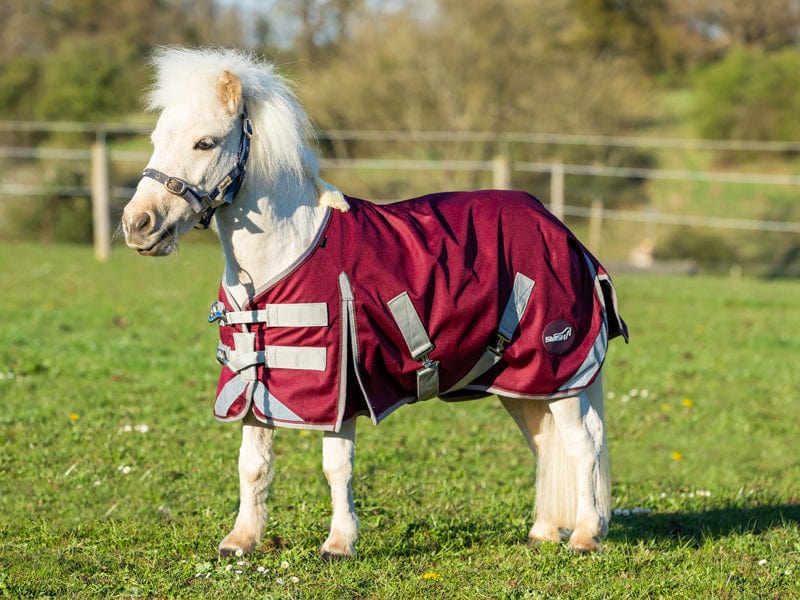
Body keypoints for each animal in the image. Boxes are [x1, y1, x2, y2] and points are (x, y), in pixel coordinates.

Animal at [122, 47, 627, 558]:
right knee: (546, 444)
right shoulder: (256, 382)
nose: (137, 224)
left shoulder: (340, 389)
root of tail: (562, 232)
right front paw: (242, 540)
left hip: (559, 373)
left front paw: (339, 543)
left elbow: (336, 466)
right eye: (156, 138)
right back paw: (544, 531)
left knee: (584, 444)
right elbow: (253, 464)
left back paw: (586, 535)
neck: (283, 255)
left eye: (205, 143)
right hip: (525, 383)